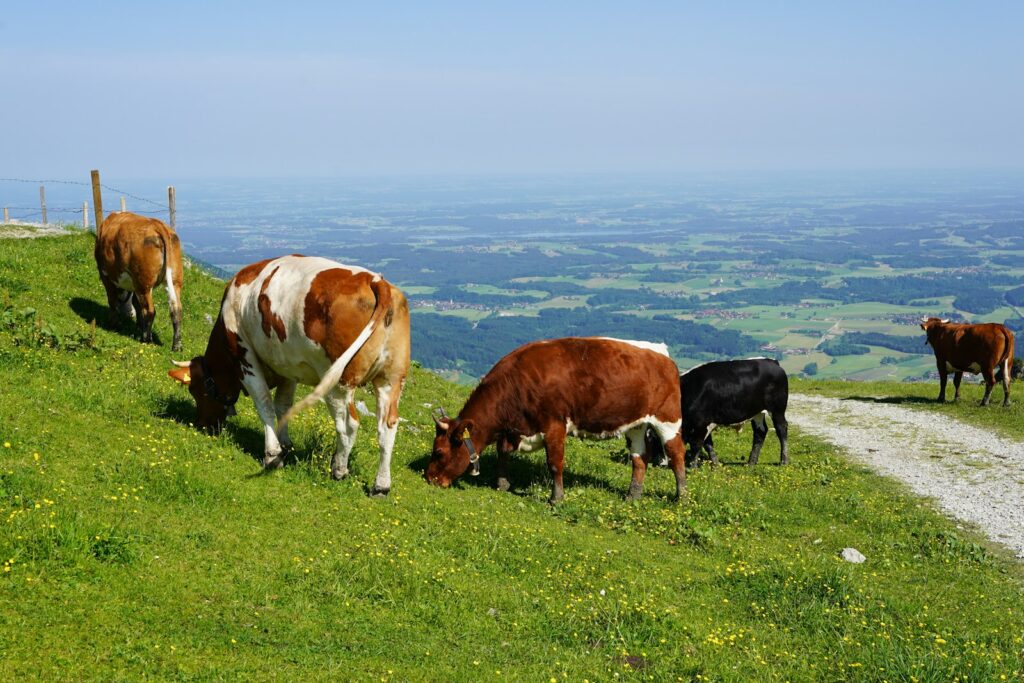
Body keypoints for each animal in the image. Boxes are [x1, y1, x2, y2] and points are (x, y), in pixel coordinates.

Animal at [94, 211, 184, 351]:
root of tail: (158, 225)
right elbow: (135, 304)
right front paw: (138, 326)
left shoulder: (106, 276)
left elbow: (112, 300)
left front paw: (113, 324)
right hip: (174, 280)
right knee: (176, 309)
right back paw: (176, 345)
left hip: (143, 283)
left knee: (149, 310)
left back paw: (146, 339)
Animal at [167, 255, 410, 496]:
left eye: (195, 390)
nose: (201, 424)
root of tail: (375, 280)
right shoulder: (286, 365)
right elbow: (283, 405)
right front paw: (285, 444)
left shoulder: (245, 356)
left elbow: (264, 403)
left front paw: (273, 455)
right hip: (391, 379)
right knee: (387, 427)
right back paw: (380, 486)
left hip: (338, 381)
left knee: (349, 423)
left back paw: (339, 470)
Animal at [425, 337, 687, 503]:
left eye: (438, 452)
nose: (428, 478)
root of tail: (661, 353)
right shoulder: (515, 429)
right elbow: (503, 451)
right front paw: (502, 484)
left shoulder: (554, 425)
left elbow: (554, 463)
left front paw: (556, 498)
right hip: (636, 424)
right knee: (639, 458)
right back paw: (632, 497)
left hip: (667, 419)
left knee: (676, 454)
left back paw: (681, 497)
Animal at [657, 358, 790, 468]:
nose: (660, 463)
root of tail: (771, 361)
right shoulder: (705, 423)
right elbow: (708, 444)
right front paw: (715, 464)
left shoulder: (701, 423)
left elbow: (696, 444)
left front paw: (692, 466)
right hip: (757, 412)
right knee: (760, 432)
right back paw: (751, 462)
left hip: (777, 408)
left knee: (781, 429)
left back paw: (784, 461)